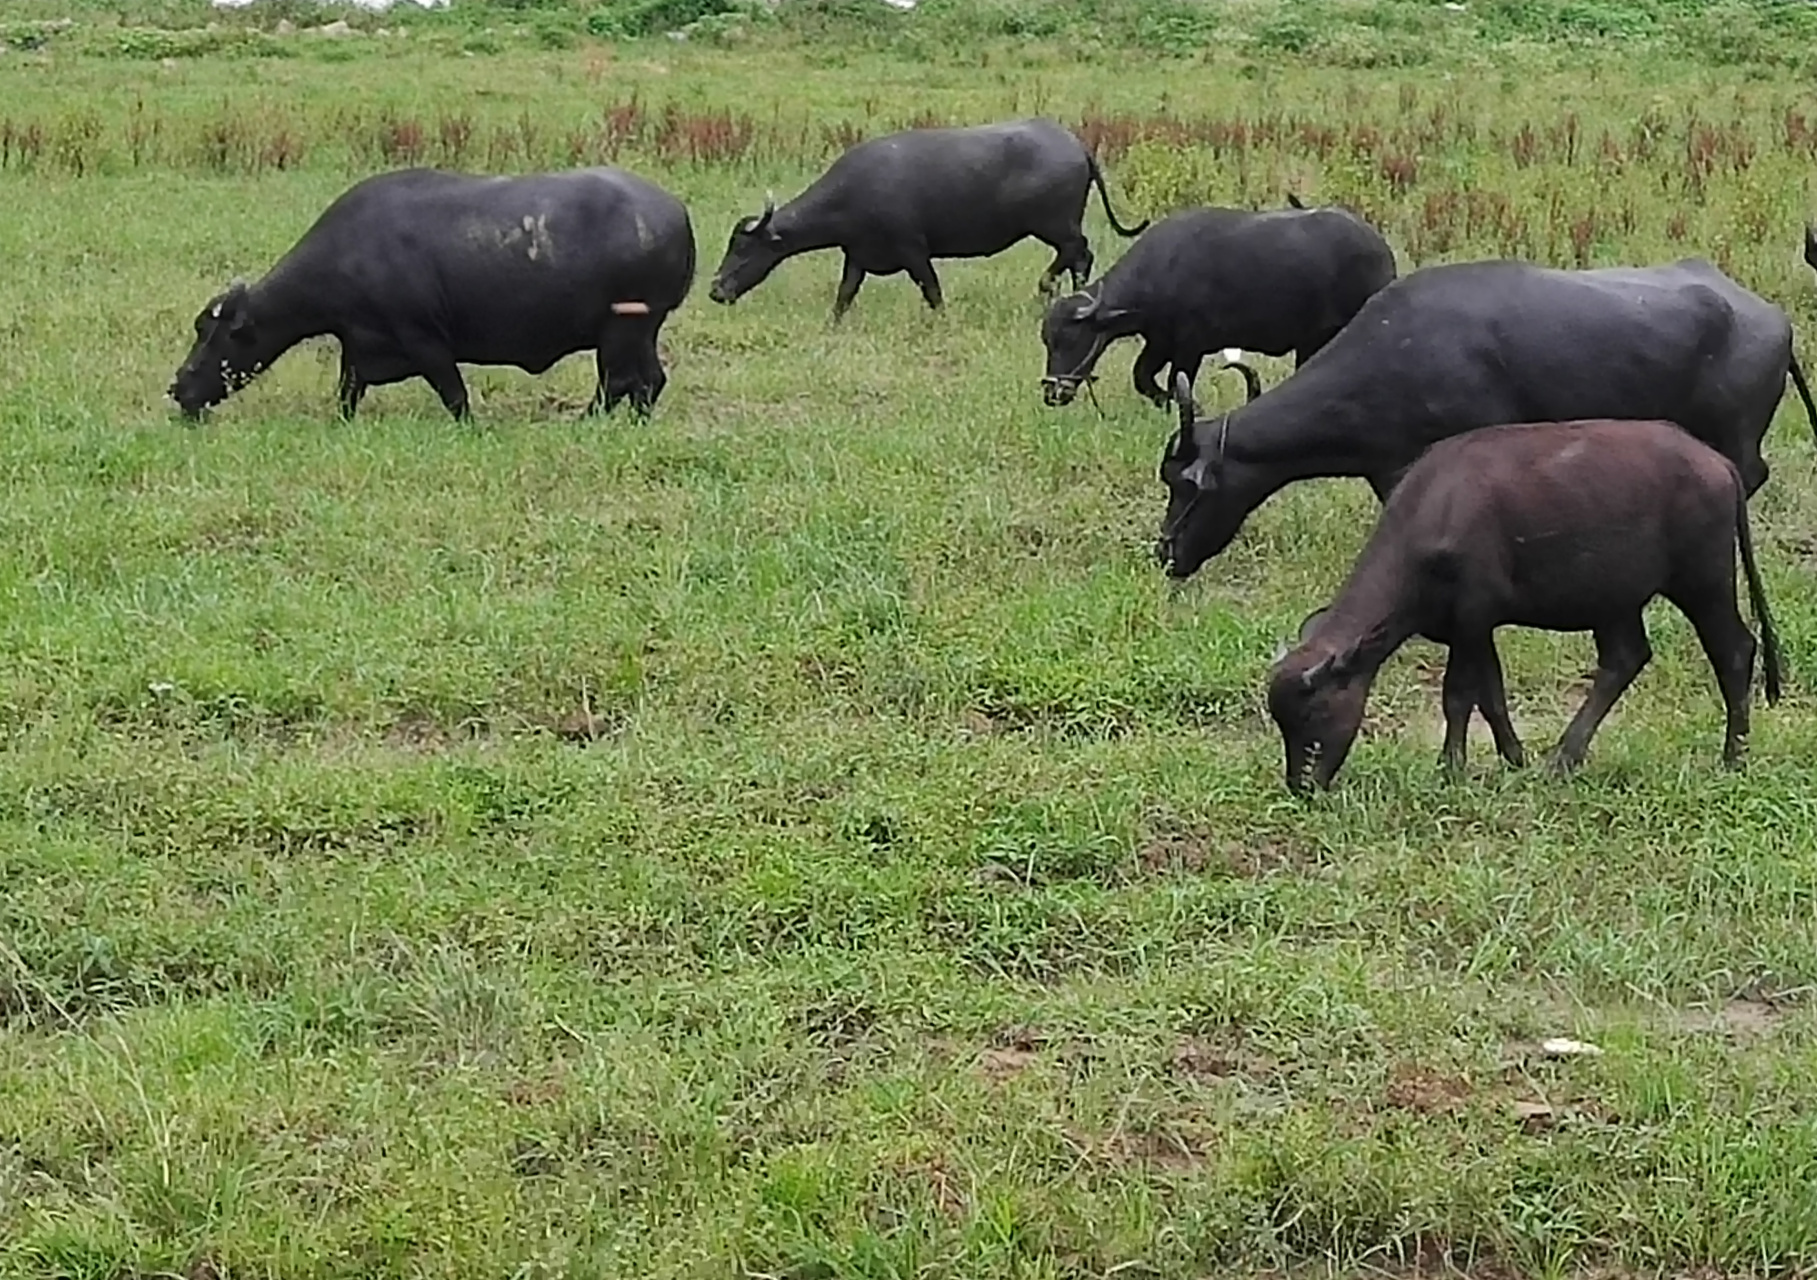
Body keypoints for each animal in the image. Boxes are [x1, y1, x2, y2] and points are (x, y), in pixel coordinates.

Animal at [168, 162, 694, 421]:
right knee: (648, 381)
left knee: (620, 383)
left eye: (212, 335)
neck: (350, 254)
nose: (177, 388)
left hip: (622, 330)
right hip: (639, 331)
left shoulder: (426, 341)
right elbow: (347, 392)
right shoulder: (358, 345)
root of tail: (676, 213)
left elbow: (454, 395)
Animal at [701, 116, 1141, 320]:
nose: (716, 290)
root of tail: (1077, 146)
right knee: (1079, 257)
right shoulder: (857, 256)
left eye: (744, 248)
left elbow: (933, 292)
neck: (855, 193)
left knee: (1077, 253)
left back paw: (1052, 289)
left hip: (1056, 226)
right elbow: (844, 296)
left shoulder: (914, 252)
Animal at [1039, 196, 1388, 410]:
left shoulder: (1189, 347)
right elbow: (1143, 377)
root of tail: (1380, 249)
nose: (1053, 393)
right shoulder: (1160, 342)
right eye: (1047, 341)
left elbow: (1176, 383)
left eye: (1071, 338)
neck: (1163, 270)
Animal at [1264, 414, 1773, 796]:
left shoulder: (1471, 616)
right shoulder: (1473, 628)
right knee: (1625, 658)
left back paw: (1734, 756)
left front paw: (1450, 767)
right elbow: (1490, 695)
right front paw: (1514, 757)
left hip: (1703, 581)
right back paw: (1563, 759)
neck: (1436, 513)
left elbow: (1458, 694)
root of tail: (1717, 462)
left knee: (1734, 651)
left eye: (1313, 713)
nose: (1301, 786)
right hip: (1614, 599)